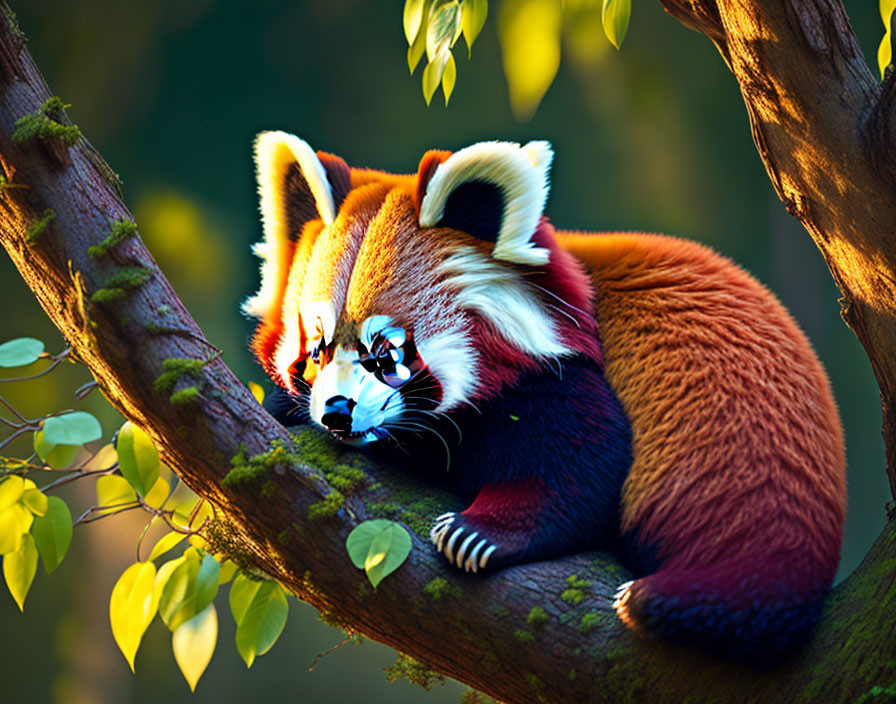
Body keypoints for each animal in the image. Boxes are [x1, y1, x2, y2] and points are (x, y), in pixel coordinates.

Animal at [245, 131, 848, 660]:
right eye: (317, 350)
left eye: (385, 355)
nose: (337, 412)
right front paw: (283, 407)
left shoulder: (564, 376)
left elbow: (581, 468)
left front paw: (479, 533)